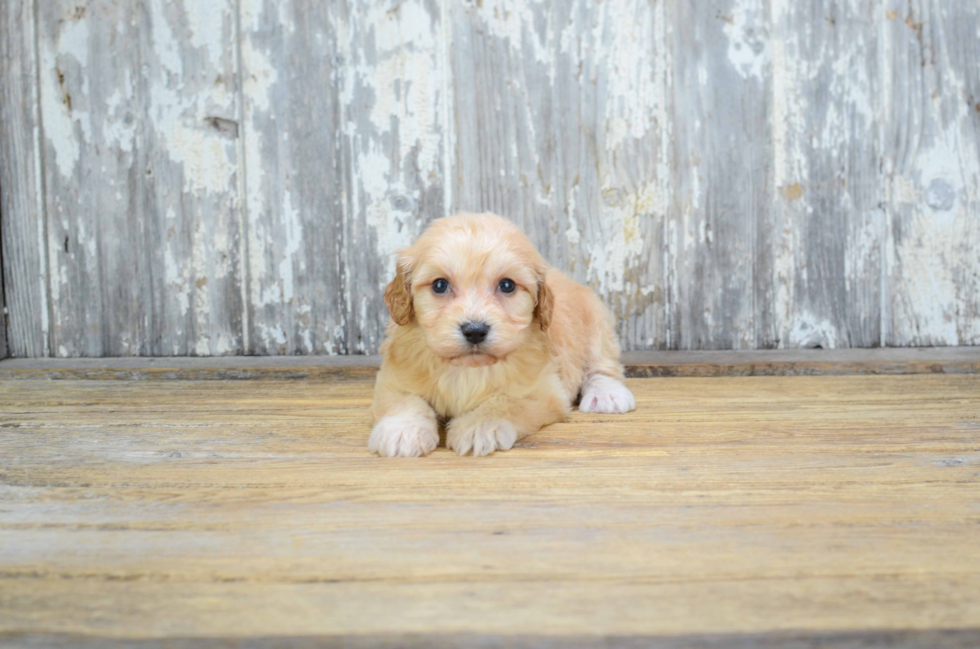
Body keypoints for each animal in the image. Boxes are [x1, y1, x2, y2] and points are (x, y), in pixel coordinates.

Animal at [370, 213, 636, 456]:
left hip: (597, 324)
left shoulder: (542, 390)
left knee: (603, 366)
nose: (475, 331)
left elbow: (505, 403)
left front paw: (479, 426)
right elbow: (404, 400)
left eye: (507, 285)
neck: (468, 369)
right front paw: (402, 430)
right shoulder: (394, 375)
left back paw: (607, 394)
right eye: (439, 285)